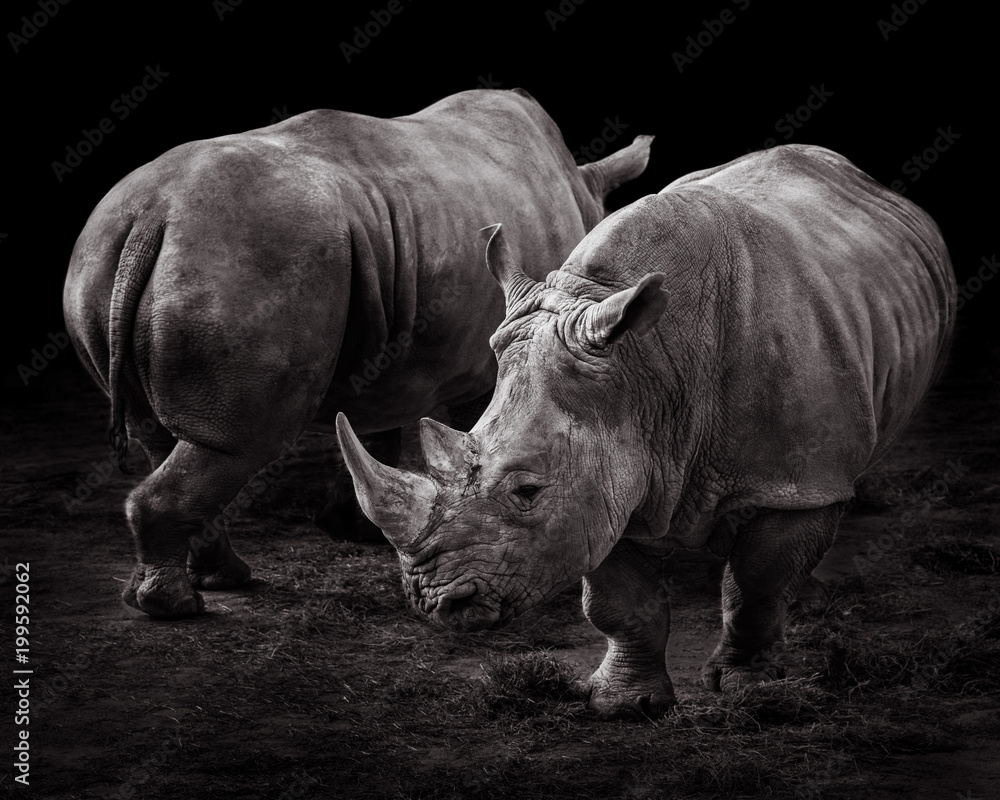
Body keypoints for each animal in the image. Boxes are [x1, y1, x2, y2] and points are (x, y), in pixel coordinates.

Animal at [62, 88, 653, 619]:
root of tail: (150, 217)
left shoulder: (396, 355)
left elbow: (378, 428)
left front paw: (351, 529)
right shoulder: (496, 361)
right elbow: (478, 438)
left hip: (104, 255)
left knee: (167, 437)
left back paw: (214, 581)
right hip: (250, 259)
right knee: (239, 442)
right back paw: (178, 606)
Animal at [336, 144, 957, 719]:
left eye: (527, 492)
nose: (435, 603)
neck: (646, 367)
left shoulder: (794, 478)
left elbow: (758, 584)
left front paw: (749, 688)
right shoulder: (603, 471)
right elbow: (619, 600)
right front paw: (625, 704)